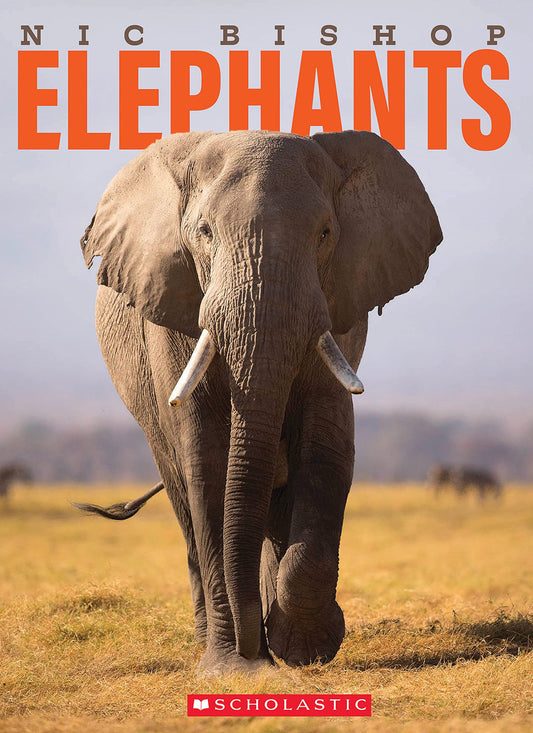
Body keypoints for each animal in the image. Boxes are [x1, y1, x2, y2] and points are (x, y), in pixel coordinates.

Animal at [76, 129, 442, 673]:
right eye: (204, 232)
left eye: (325, 234)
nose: (253, 652)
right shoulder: (172, 309)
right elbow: (207, 463)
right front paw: (233, 666)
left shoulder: (339, 309)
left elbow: (327, 450)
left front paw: (304, 650)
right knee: (185, 496)